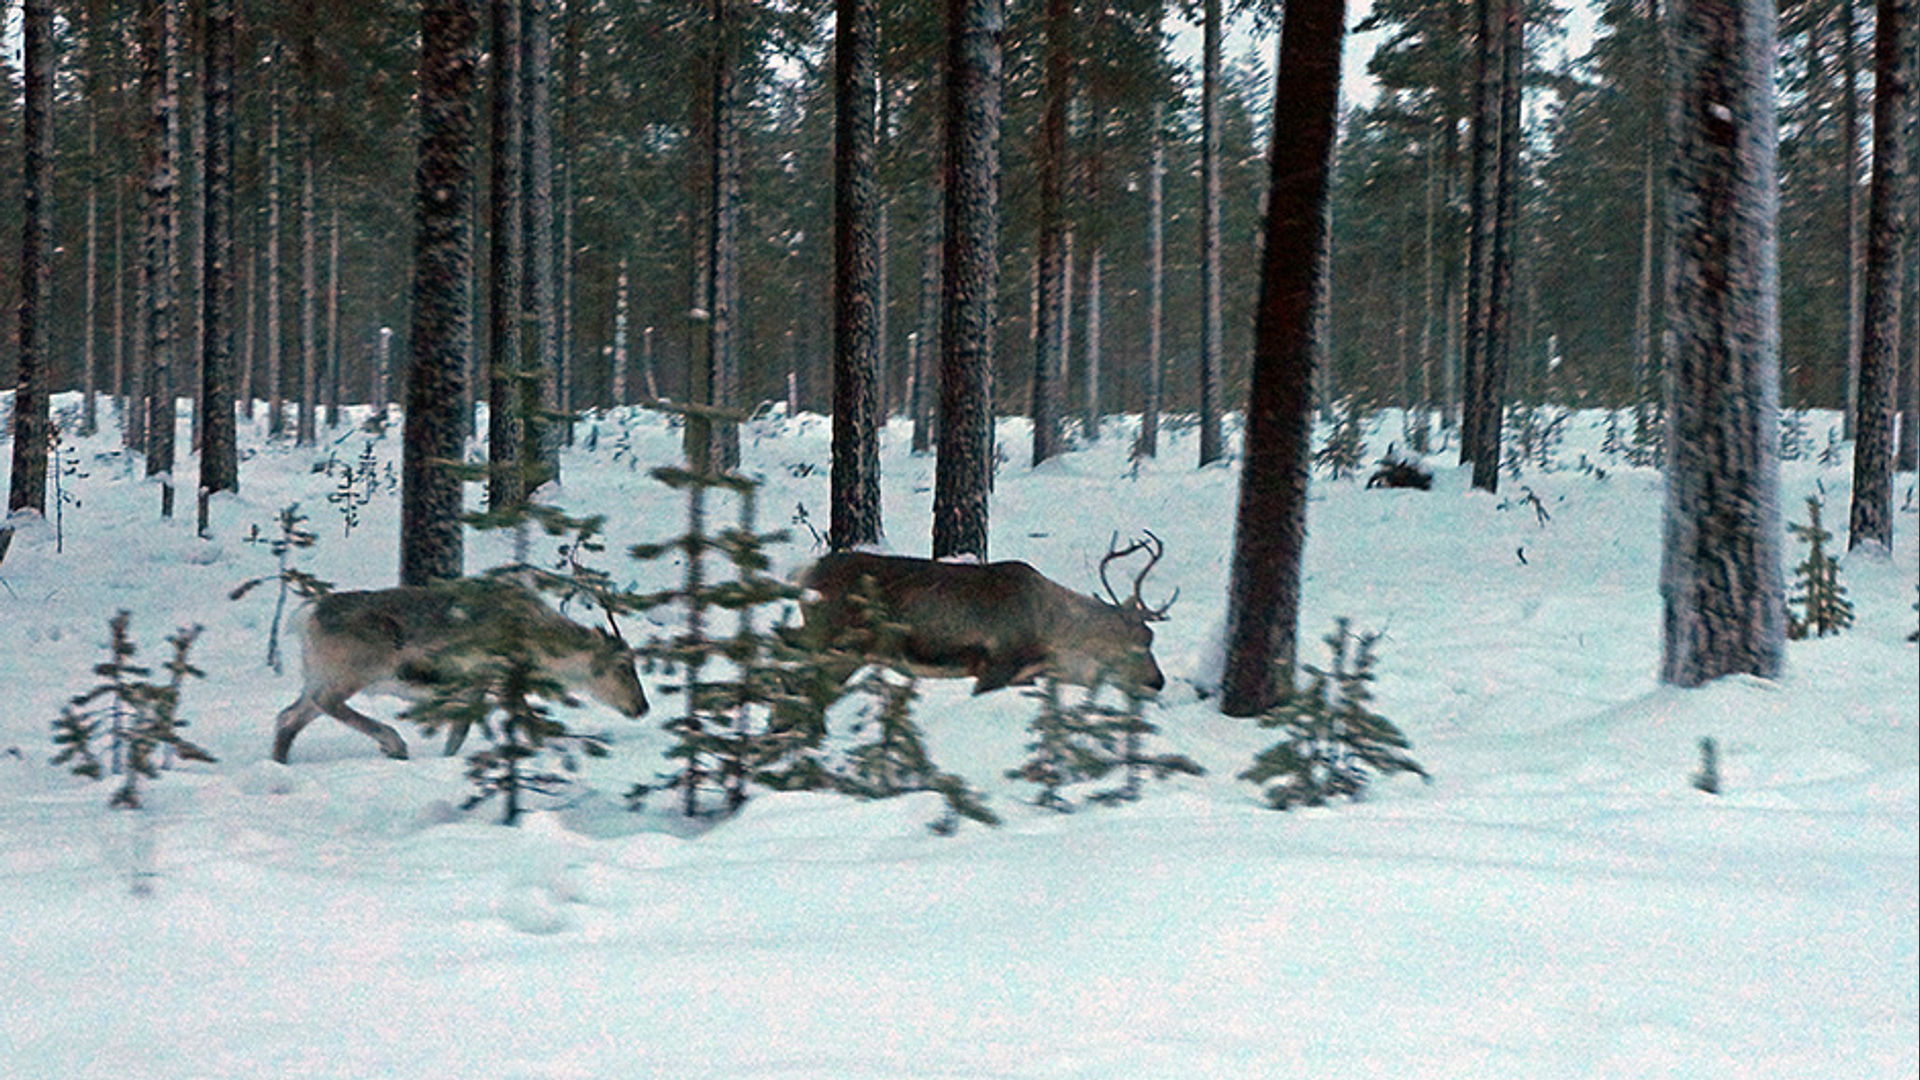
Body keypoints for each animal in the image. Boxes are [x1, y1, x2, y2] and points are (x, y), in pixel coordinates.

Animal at [270, 578, 648, 764]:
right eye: (623, 666)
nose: (642, 707)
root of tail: (306, 616)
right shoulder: (502, 679)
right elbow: (533, 725)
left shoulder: (475, 688)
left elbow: (459, 731)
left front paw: (448, 758)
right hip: (354, 670)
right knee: (325, 704)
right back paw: (394, 743)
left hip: (317, 674)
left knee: (289, 715)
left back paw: (279, 761)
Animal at [796, 533, 1176, 696]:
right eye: (1138, 641)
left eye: (1151, 637)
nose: (1157, 681)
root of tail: (805, 576)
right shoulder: (994, 665)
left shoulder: (1023, 674)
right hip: (832, 646)